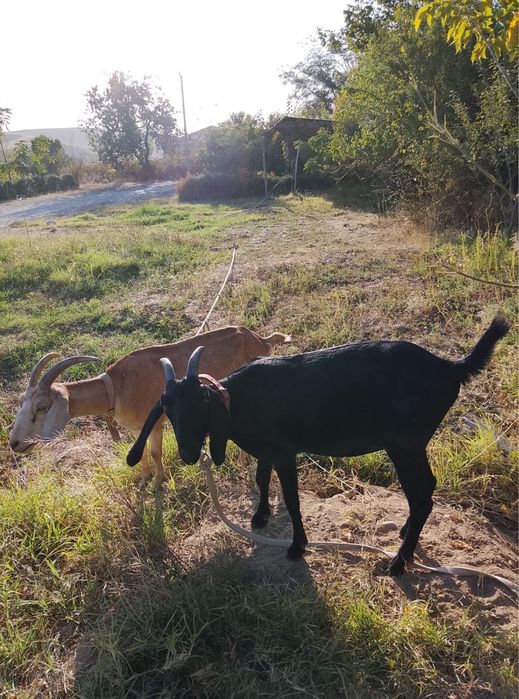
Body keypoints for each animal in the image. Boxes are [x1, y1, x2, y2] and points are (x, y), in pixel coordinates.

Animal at [9, 326, 291, 486]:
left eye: (42, 407)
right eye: (22, 402)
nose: (14, 443)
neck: (116, 389)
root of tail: (260, 339)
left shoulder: (154, 423)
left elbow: (155, 452)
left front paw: (158, 483)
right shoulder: (136, 427)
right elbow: (142, 452)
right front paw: (144, 480)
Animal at [127, 316, 509, 575]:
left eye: (201, 404)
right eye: (168, 409)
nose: (189, 453)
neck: (238, 400)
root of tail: (450, 368)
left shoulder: (284, 451)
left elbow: (292, 499)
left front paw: (298, 546)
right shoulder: (268, 450)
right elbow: (261, 479)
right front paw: (260, 516)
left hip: (405, 445)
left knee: (422, 497)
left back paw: (399, 563)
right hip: (414, 445)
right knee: (427, 488)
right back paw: (404, 536)